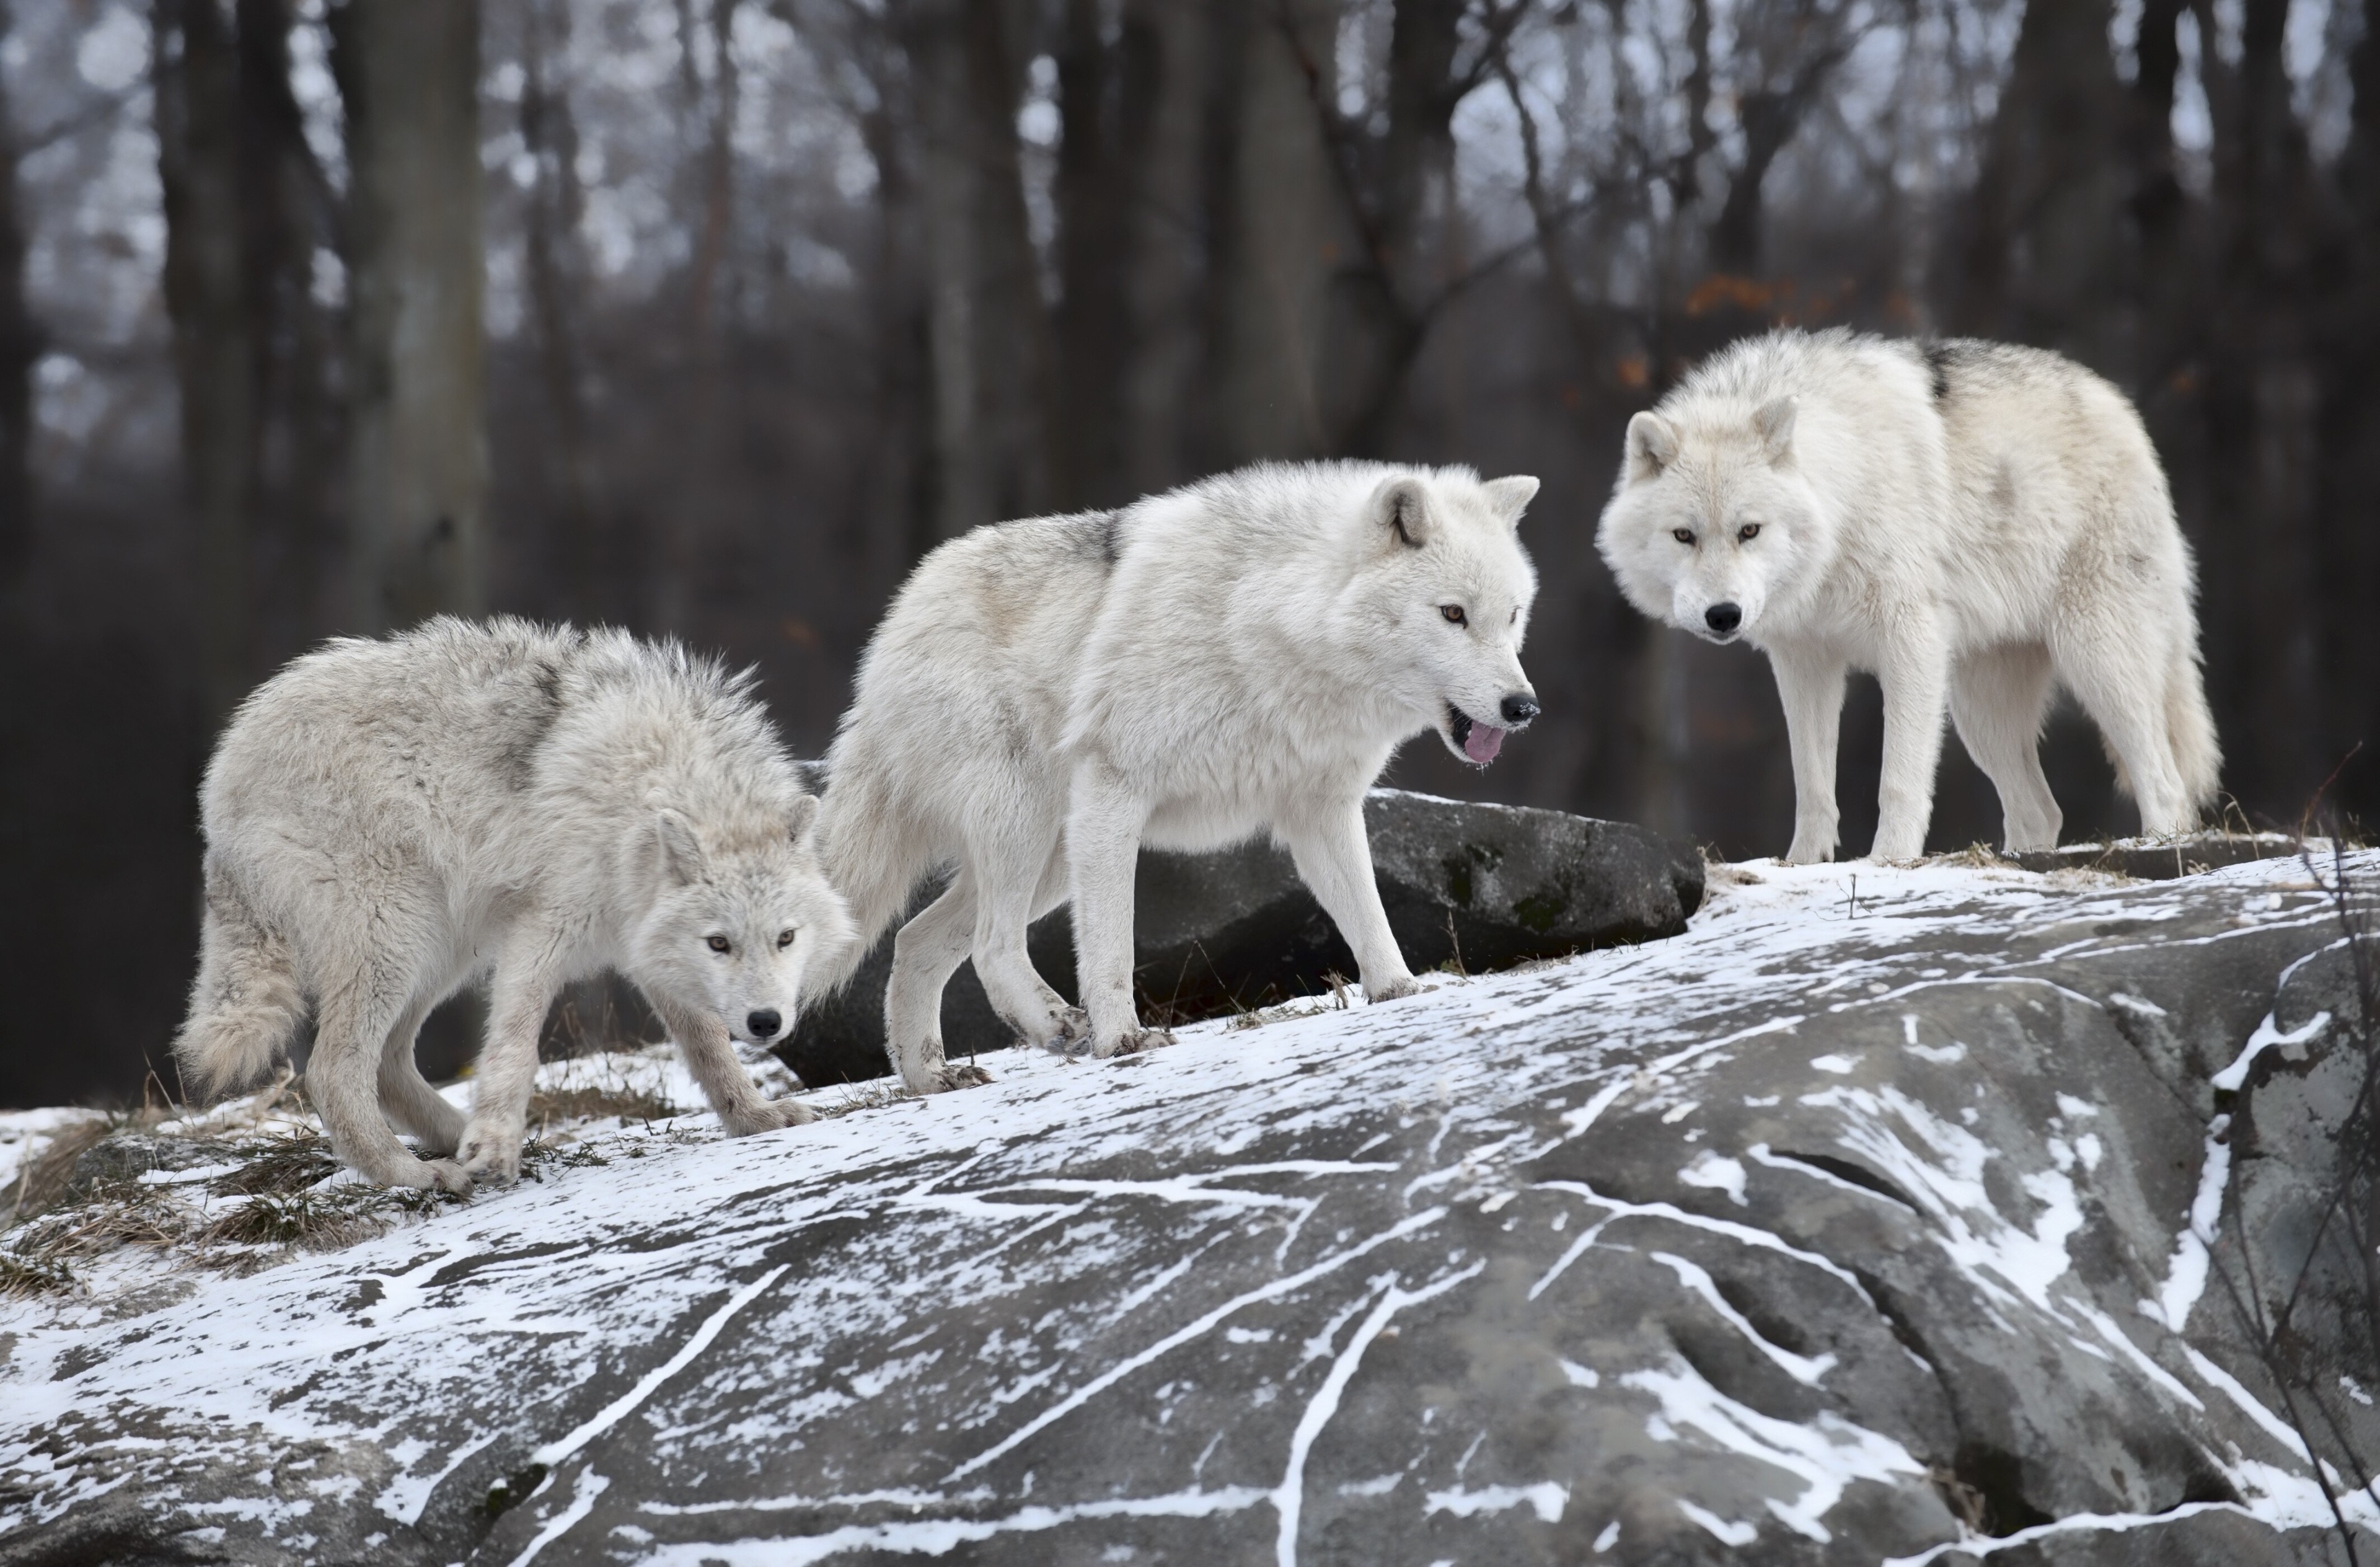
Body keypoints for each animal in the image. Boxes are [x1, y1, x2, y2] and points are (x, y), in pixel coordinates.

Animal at [174, 617, 854, 1190]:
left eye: (785, 938)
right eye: (720, 943)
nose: (766, 1022)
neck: (641, 790)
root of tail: (221, 773)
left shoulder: (646, 946)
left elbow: (710, 1048)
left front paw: (755, 1116)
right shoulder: (541, 930)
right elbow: (515, 1047)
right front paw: (495, 1143)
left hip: (442, 950)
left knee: (388, 1066)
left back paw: (462, 1140)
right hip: (399, 938)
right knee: (333, 1073)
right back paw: (416, 1174)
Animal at [813, 461, 1541, 1093]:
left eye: (1511, 615)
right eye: (1453, 614)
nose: (1523, 707)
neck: (1268, 625)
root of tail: (896, 620)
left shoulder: (1320, 810)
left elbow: (1368, 914)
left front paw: (1399, 993)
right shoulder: (1116, 790)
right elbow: (1113, 945)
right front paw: (1123, 1041)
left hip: (1053, 855)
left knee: (915, 940)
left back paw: (930, 1077)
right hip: (1029, 826)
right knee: (993, 945)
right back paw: (1055, 1027)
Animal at [1597, 328, 2218, 863]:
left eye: (1749, 530)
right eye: (1684, 535)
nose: (1723, 616)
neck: (1844, 497)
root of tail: (2121, 408)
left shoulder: (1910, 642)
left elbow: (1897, 779)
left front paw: (1888, 861)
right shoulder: (1804, 661)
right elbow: (1812, 785)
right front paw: (1802, 865)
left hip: (2095, 661)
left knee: (2165, 782)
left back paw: (2160, 846)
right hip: (1980, 712)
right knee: (2042, 811)